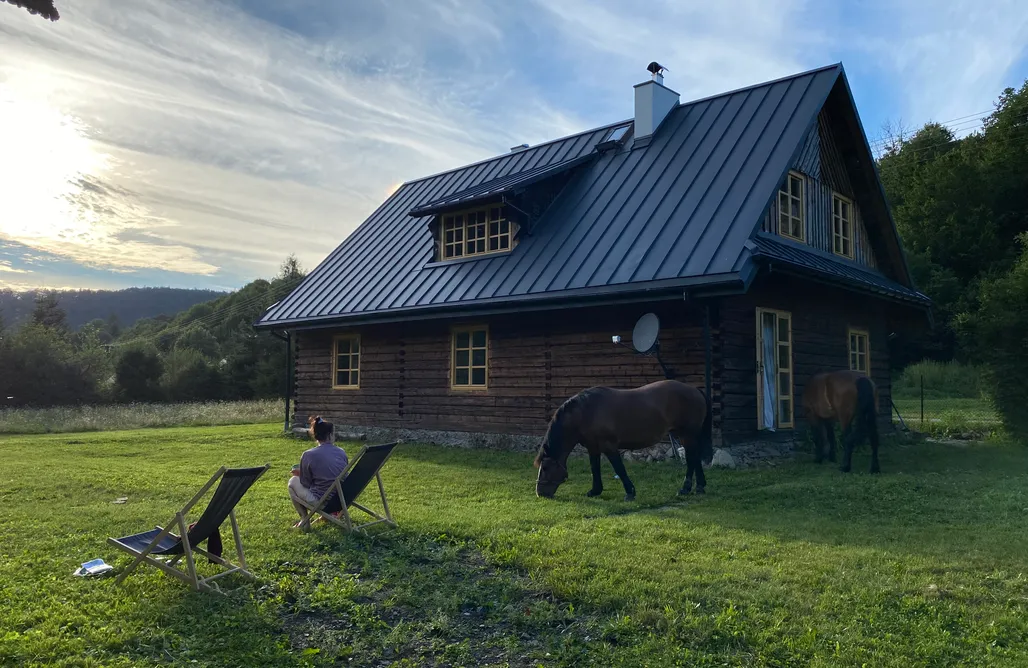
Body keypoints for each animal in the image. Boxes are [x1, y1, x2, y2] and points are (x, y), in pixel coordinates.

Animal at [534, 380, 711, 499]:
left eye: (545, 468)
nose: (540, 493)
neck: (586, 412)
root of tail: (694, 389)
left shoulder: (609, 446)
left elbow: (619, 468)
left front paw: (630, 492)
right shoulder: (593, 447)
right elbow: (594, 468)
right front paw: (595, 491)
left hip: (687, 434)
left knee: (691, 460)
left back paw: (685, 488)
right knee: (695, 458)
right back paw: (700, 487)